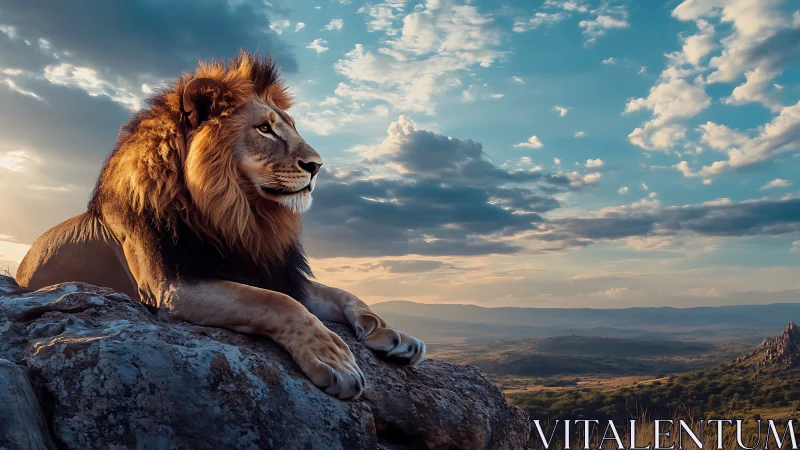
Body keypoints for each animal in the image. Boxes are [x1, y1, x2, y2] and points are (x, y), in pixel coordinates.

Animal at [15, 50, 425, 400]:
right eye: (264, 129)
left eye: (291, 128)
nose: (317, 166)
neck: (239, 217)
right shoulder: (173, 287)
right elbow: (277, 302)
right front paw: (333, 359)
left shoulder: (270, 269)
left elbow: (343, 294)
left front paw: (392, 334)